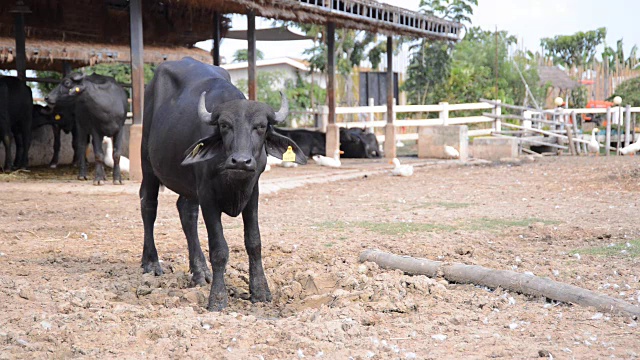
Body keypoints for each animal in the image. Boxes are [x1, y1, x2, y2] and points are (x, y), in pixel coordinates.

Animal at [140, 57, 304, 310]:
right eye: (225, 125)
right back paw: (151, 263)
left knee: (186, 212)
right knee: (149, 205)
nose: (241, 161)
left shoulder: (252, 192)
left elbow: (254, 242)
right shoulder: (208, 196)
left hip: (188, 185)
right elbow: (219, 248)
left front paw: (260, 291)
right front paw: (217, 298)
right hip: (147, 162)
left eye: (260, 126)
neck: (233, 181)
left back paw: (200, 272)